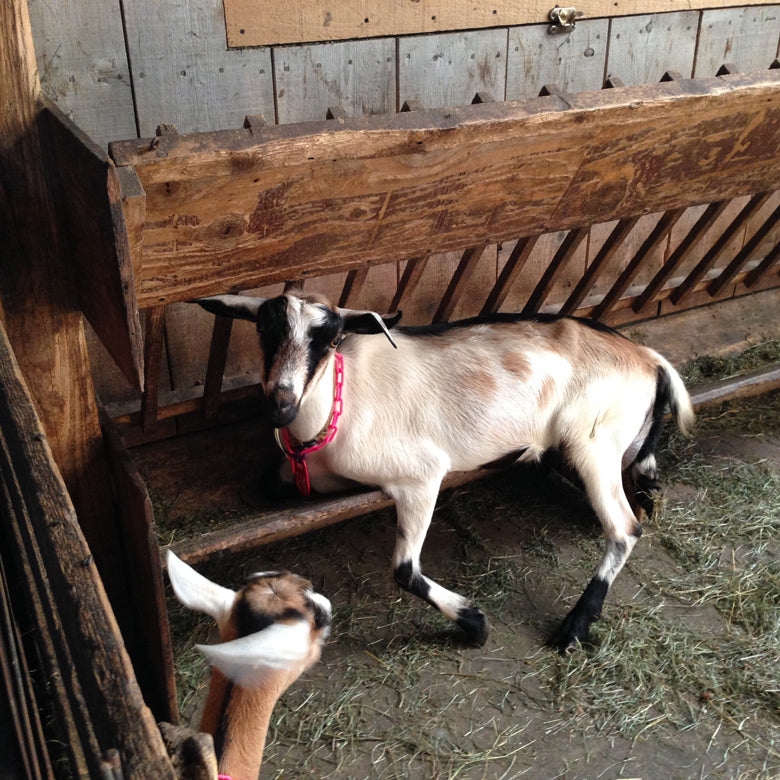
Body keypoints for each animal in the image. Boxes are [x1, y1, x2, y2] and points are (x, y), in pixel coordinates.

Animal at [195, 292, 696, 652]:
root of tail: (647, 358)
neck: (338, 401)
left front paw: (476, 625)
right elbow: (268, 482)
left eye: (330, 338)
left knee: (625, 528)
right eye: (264, 329)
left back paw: (573, 628)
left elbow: (404, 569)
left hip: (592, 440)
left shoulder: (421, 476)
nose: (280, 403)